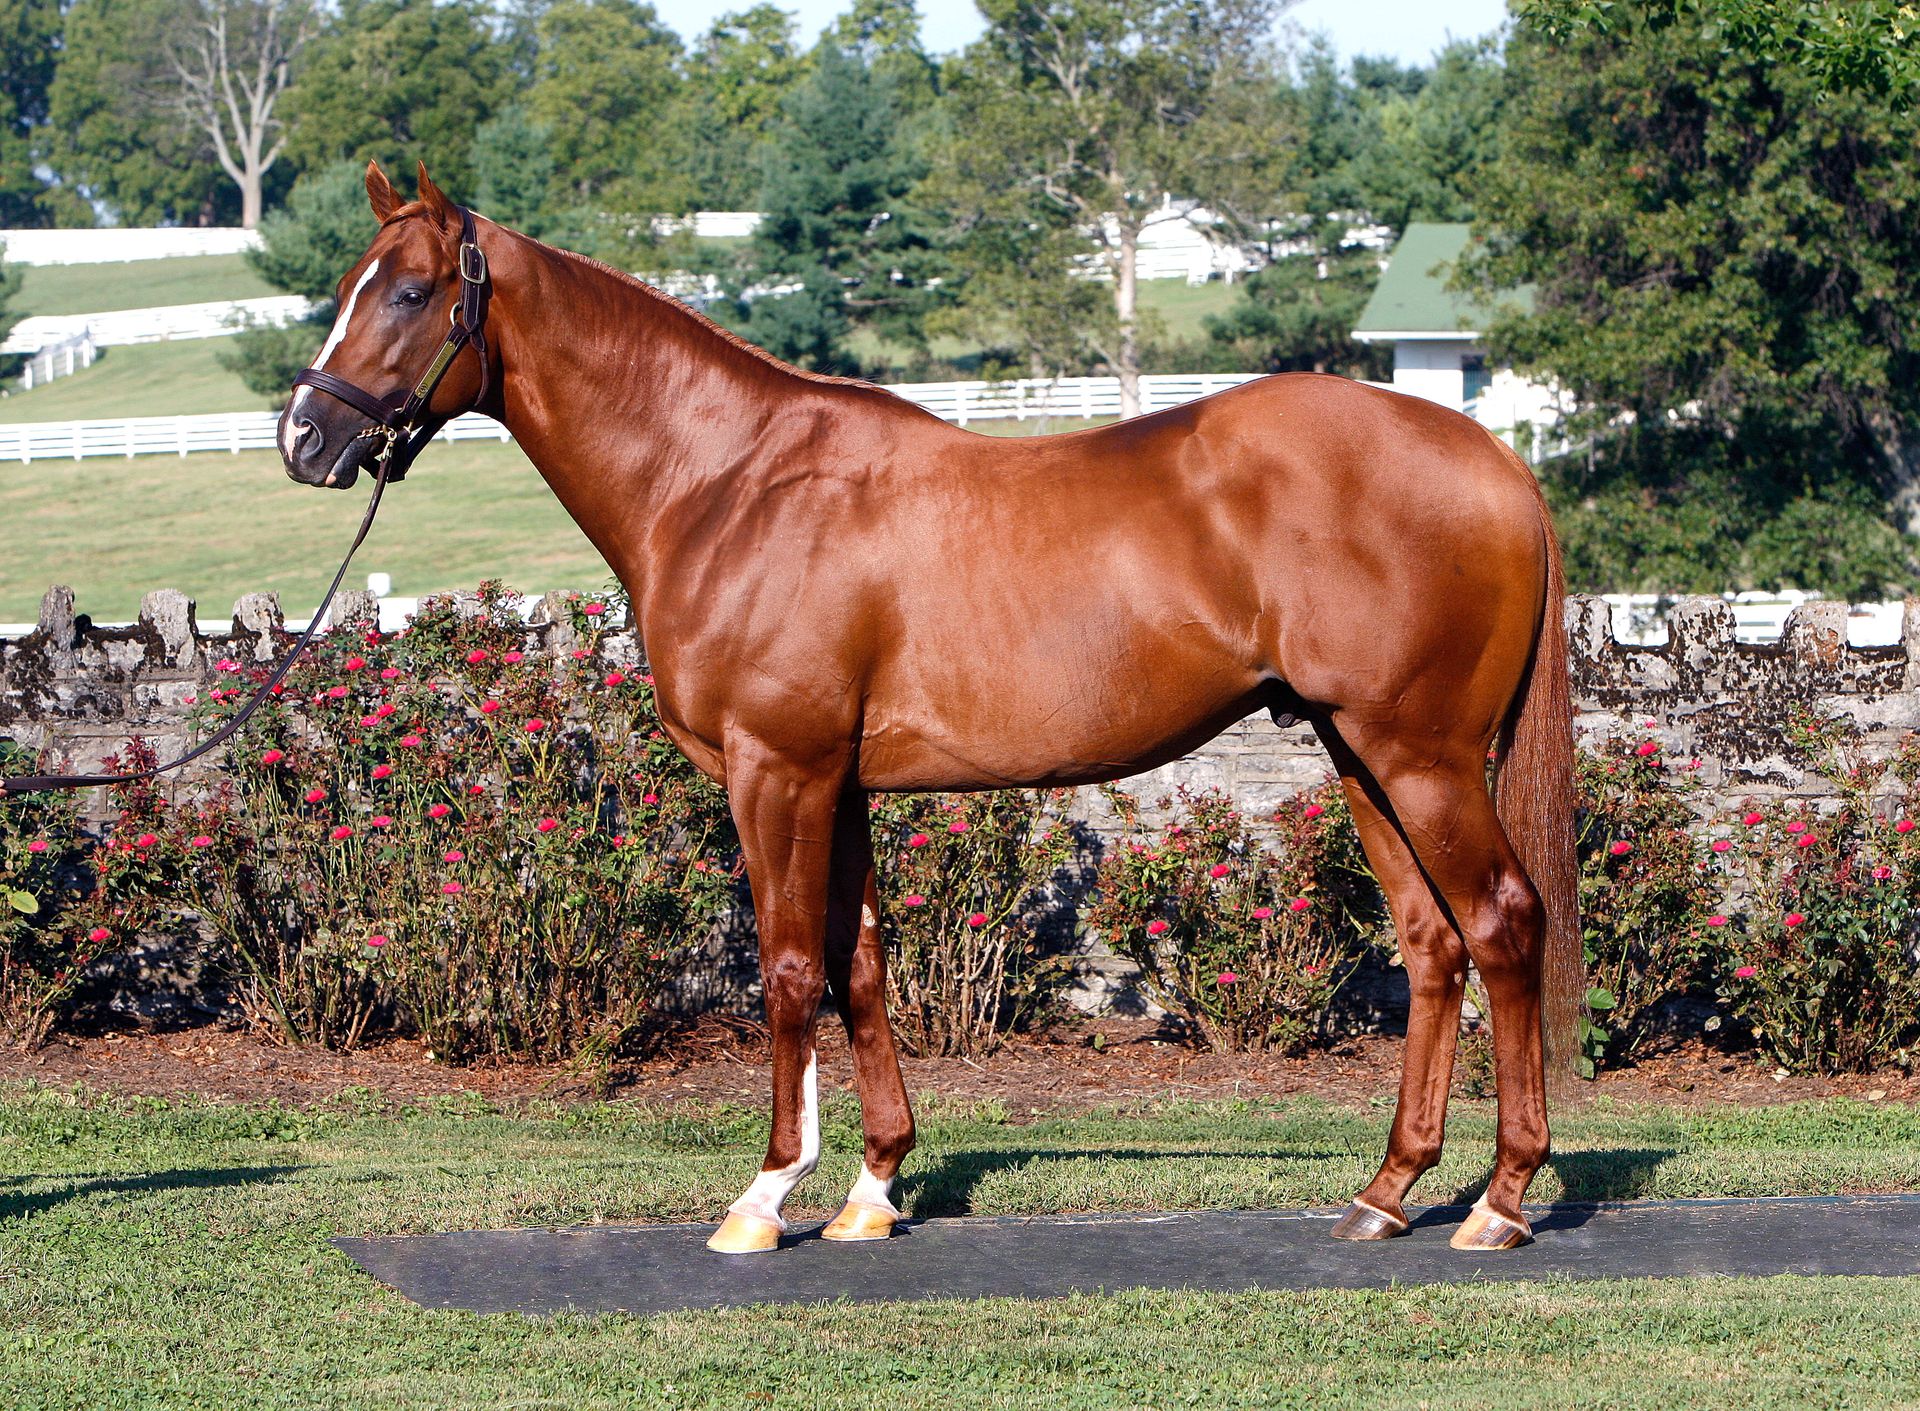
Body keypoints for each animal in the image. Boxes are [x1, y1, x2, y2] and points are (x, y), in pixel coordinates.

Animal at [280, 160, 1580, 1256]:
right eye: (348, 287)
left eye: (409, 289)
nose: (306, 436)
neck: (728, 482)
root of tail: (1496, 461)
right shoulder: (839, 783)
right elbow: (858, 966)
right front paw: (871, 1189)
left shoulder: (777, 771)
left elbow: (788, 968)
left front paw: (765, 1196)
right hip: (1361, 757)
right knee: (1432, 946)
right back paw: (1388, 1192)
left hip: (1421, 757)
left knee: (1504, 924)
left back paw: (1503, 1201)